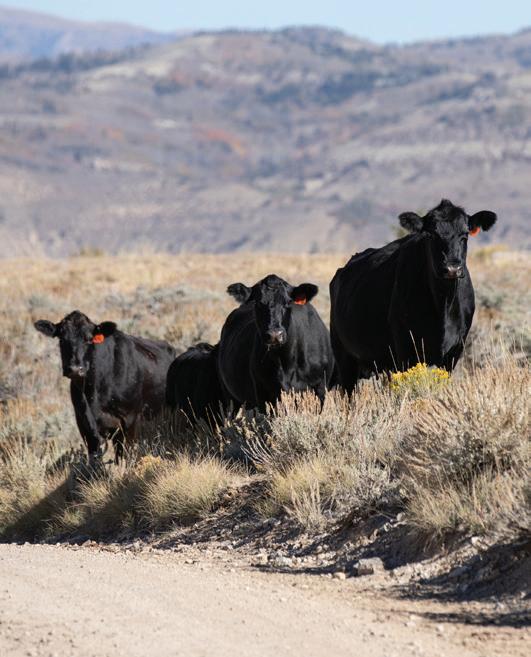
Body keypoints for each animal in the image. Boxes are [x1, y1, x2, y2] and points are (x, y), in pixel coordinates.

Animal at [34, 310, 175, 464]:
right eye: (61, 339)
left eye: (89, 339)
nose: (75, 369)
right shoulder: (84, 423)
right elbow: (95, 458)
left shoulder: (129, 419)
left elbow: (125, 455)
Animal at [217, 274, 335, 410]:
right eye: (258, 303)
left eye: (288, 302)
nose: (275, 335)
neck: (286, 361)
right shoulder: (263, 394)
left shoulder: (319, 389)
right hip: (229, 397)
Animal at [330, 199, 497, 392]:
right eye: (431, 235)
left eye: (465, 235)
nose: (452, 268)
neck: (443, 305)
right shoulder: (405, 349)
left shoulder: (454, 352)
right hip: (344, 357)